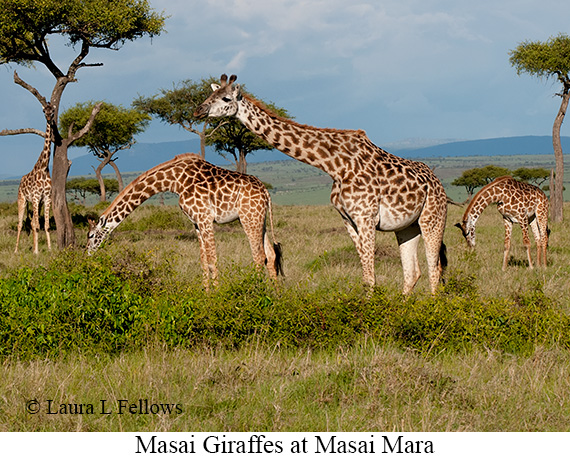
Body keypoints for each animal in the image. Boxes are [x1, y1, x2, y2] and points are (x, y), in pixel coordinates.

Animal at [14, 102, 55, 253]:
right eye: (44, 111)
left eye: (52, 111)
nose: (48, 117)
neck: (43, 167)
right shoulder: (36, 197)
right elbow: (37, 225)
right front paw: (37, 251)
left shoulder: (47, 198)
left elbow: (46, 225)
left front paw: (49, 249)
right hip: (23, 200)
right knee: (20, 224)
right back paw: (16, 250)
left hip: (37, 203)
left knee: (31, 222)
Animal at [86, 153, 282, 288]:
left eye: (90, 236)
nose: (86, 255)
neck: (175, 182)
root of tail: (266, 192)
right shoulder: (196, 222)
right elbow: (203, 261)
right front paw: (206, 295)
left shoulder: (205, 219)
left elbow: (212, 259)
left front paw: (217, 296)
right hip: (258, 219)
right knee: (271, 254)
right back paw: (276, 296)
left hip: (248, 218)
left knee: (259, 256)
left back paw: (255, 292)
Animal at [193, 73, 446, 294]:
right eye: (210, 95)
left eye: (226, 99)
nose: (198, 110)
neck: (334, 165)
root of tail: (438, 183)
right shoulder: (348, 220)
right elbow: (366, 275)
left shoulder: (366, 218)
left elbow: (371, 275)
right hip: (407, 227)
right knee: (413, 272)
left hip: (432, 218)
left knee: (435, 268)